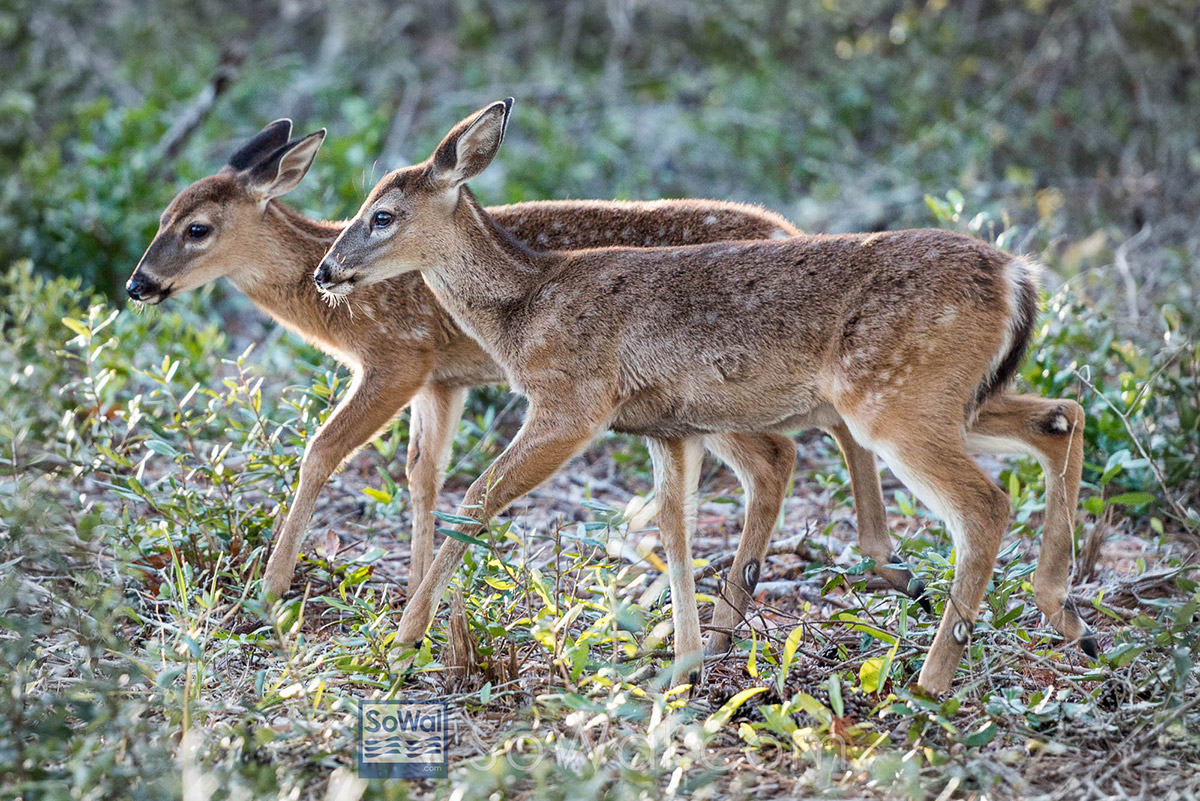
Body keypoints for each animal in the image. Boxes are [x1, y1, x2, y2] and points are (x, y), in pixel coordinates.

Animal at [126, 118, 933, 648]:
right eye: (160, 213)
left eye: (197, 228)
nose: (138, 284)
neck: (330, 307)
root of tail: (790, 230)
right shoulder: (443, 380)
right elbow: (424, 476)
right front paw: (415, 599)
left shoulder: (398, 357)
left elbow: (323, 451)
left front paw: (269, 594)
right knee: (794, 449)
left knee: (794, 448)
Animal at [315, 99, 1094, 694]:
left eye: (383, 214)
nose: (326, 271)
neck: (526, 307)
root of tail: (1018, 276)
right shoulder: (668, 425)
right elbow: (674, 529)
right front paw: (685, 661)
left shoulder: (573, 403)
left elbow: (477, 500)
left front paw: (403, 641)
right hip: (956, 396)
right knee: (1059, 417)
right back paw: (1068, 619)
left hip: (896, 399)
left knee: (985, 504)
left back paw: (931, 680)